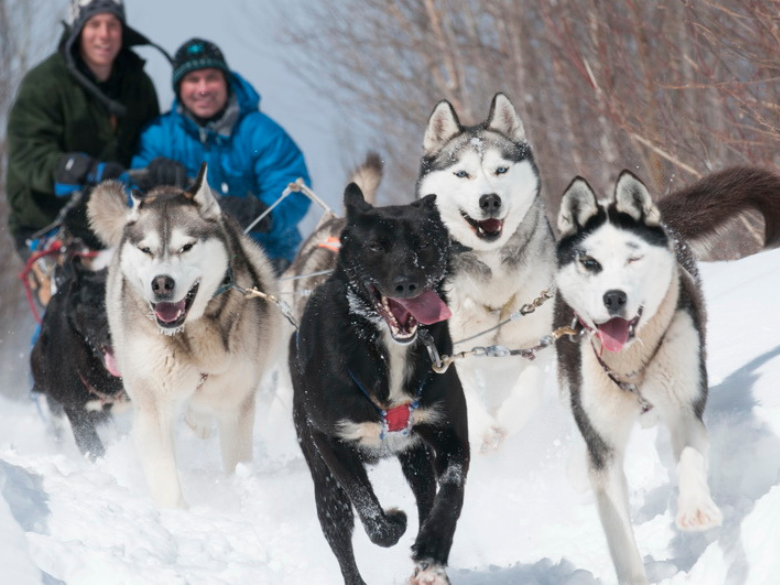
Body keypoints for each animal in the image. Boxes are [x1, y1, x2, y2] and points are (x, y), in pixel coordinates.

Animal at [87, 164, 280, 506]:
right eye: (146, 249)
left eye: (186, 246)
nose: (161, 283)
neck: (190, 334)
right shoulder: (153, 405)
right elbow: (165, 478)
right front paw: (176, 513)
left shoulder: (235, 405)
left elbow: (236, 459)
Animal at [288, 184, 466, 584]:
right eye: (375, 247)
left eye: (422, 243)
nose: (407, 283)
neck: (384, 347)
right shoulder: (331, 441)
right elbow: (373, 516)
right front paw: (393, 522)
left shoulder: (448, 433)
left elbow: (451, 493)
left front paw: (433, 547)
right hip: (324, 483)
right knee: (341, 536)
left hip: (415, 459)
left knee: (427, 497)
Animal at [420, 92, 556, 452]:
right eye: (462, 174)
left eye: (501, 170)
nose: (490, 200)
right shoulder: (450, 353)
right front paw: (483, 430)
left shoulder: (534, 341)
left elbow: (531, 386)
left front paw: (509, 418)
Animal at [552, 167, 780, 580]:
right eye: (590, 262)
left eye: (633, 258)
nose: (614, 297)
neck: (631, 362)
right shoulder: (603, 447)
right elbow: (619, 536)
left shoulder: (684, 407)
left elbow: (689, 455)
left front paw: (696, 510)